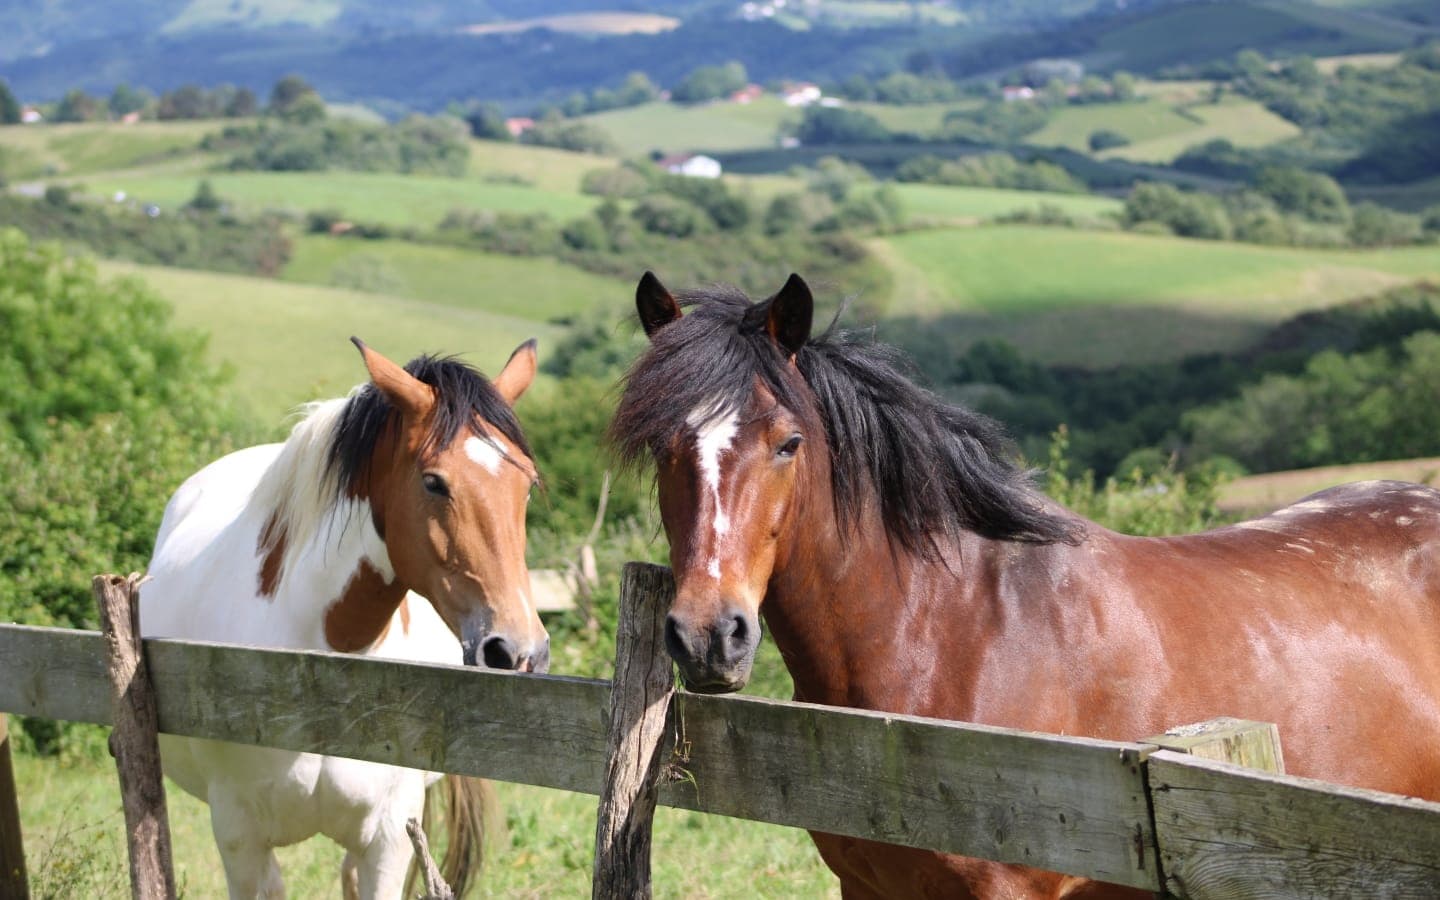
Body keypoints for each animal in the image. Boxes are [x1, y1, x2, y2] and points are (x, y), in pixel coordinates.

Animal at [140, 337, 550, 900]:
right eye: (433, 482)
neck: (324, 659)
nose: (517, 650)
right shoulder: (239, 837)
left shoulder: (390, 841)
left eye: (526, 484)